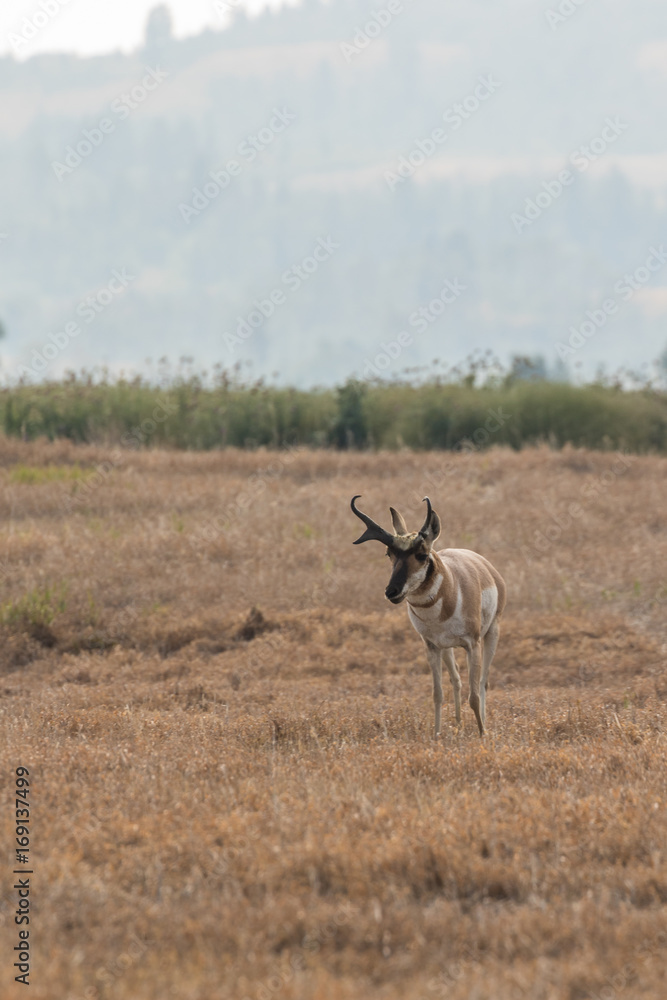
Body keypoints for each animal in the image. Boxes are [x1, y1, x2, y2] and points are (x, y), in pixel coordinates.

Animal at [350, 495, 506, 737]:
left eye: (422, 554)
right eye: (389, 553)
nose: (391, 591)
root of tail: (486, 566)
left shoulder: (473, 644)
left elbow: (474, 695)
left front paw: (482, 735)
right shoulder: (432, 646)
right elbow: (437, 694)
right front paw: (436, 736)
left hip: (491, 634)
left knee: (482, 683)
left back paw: (483, 726)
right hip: (447, 648)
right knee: (456, 679)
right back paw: (458, 724)